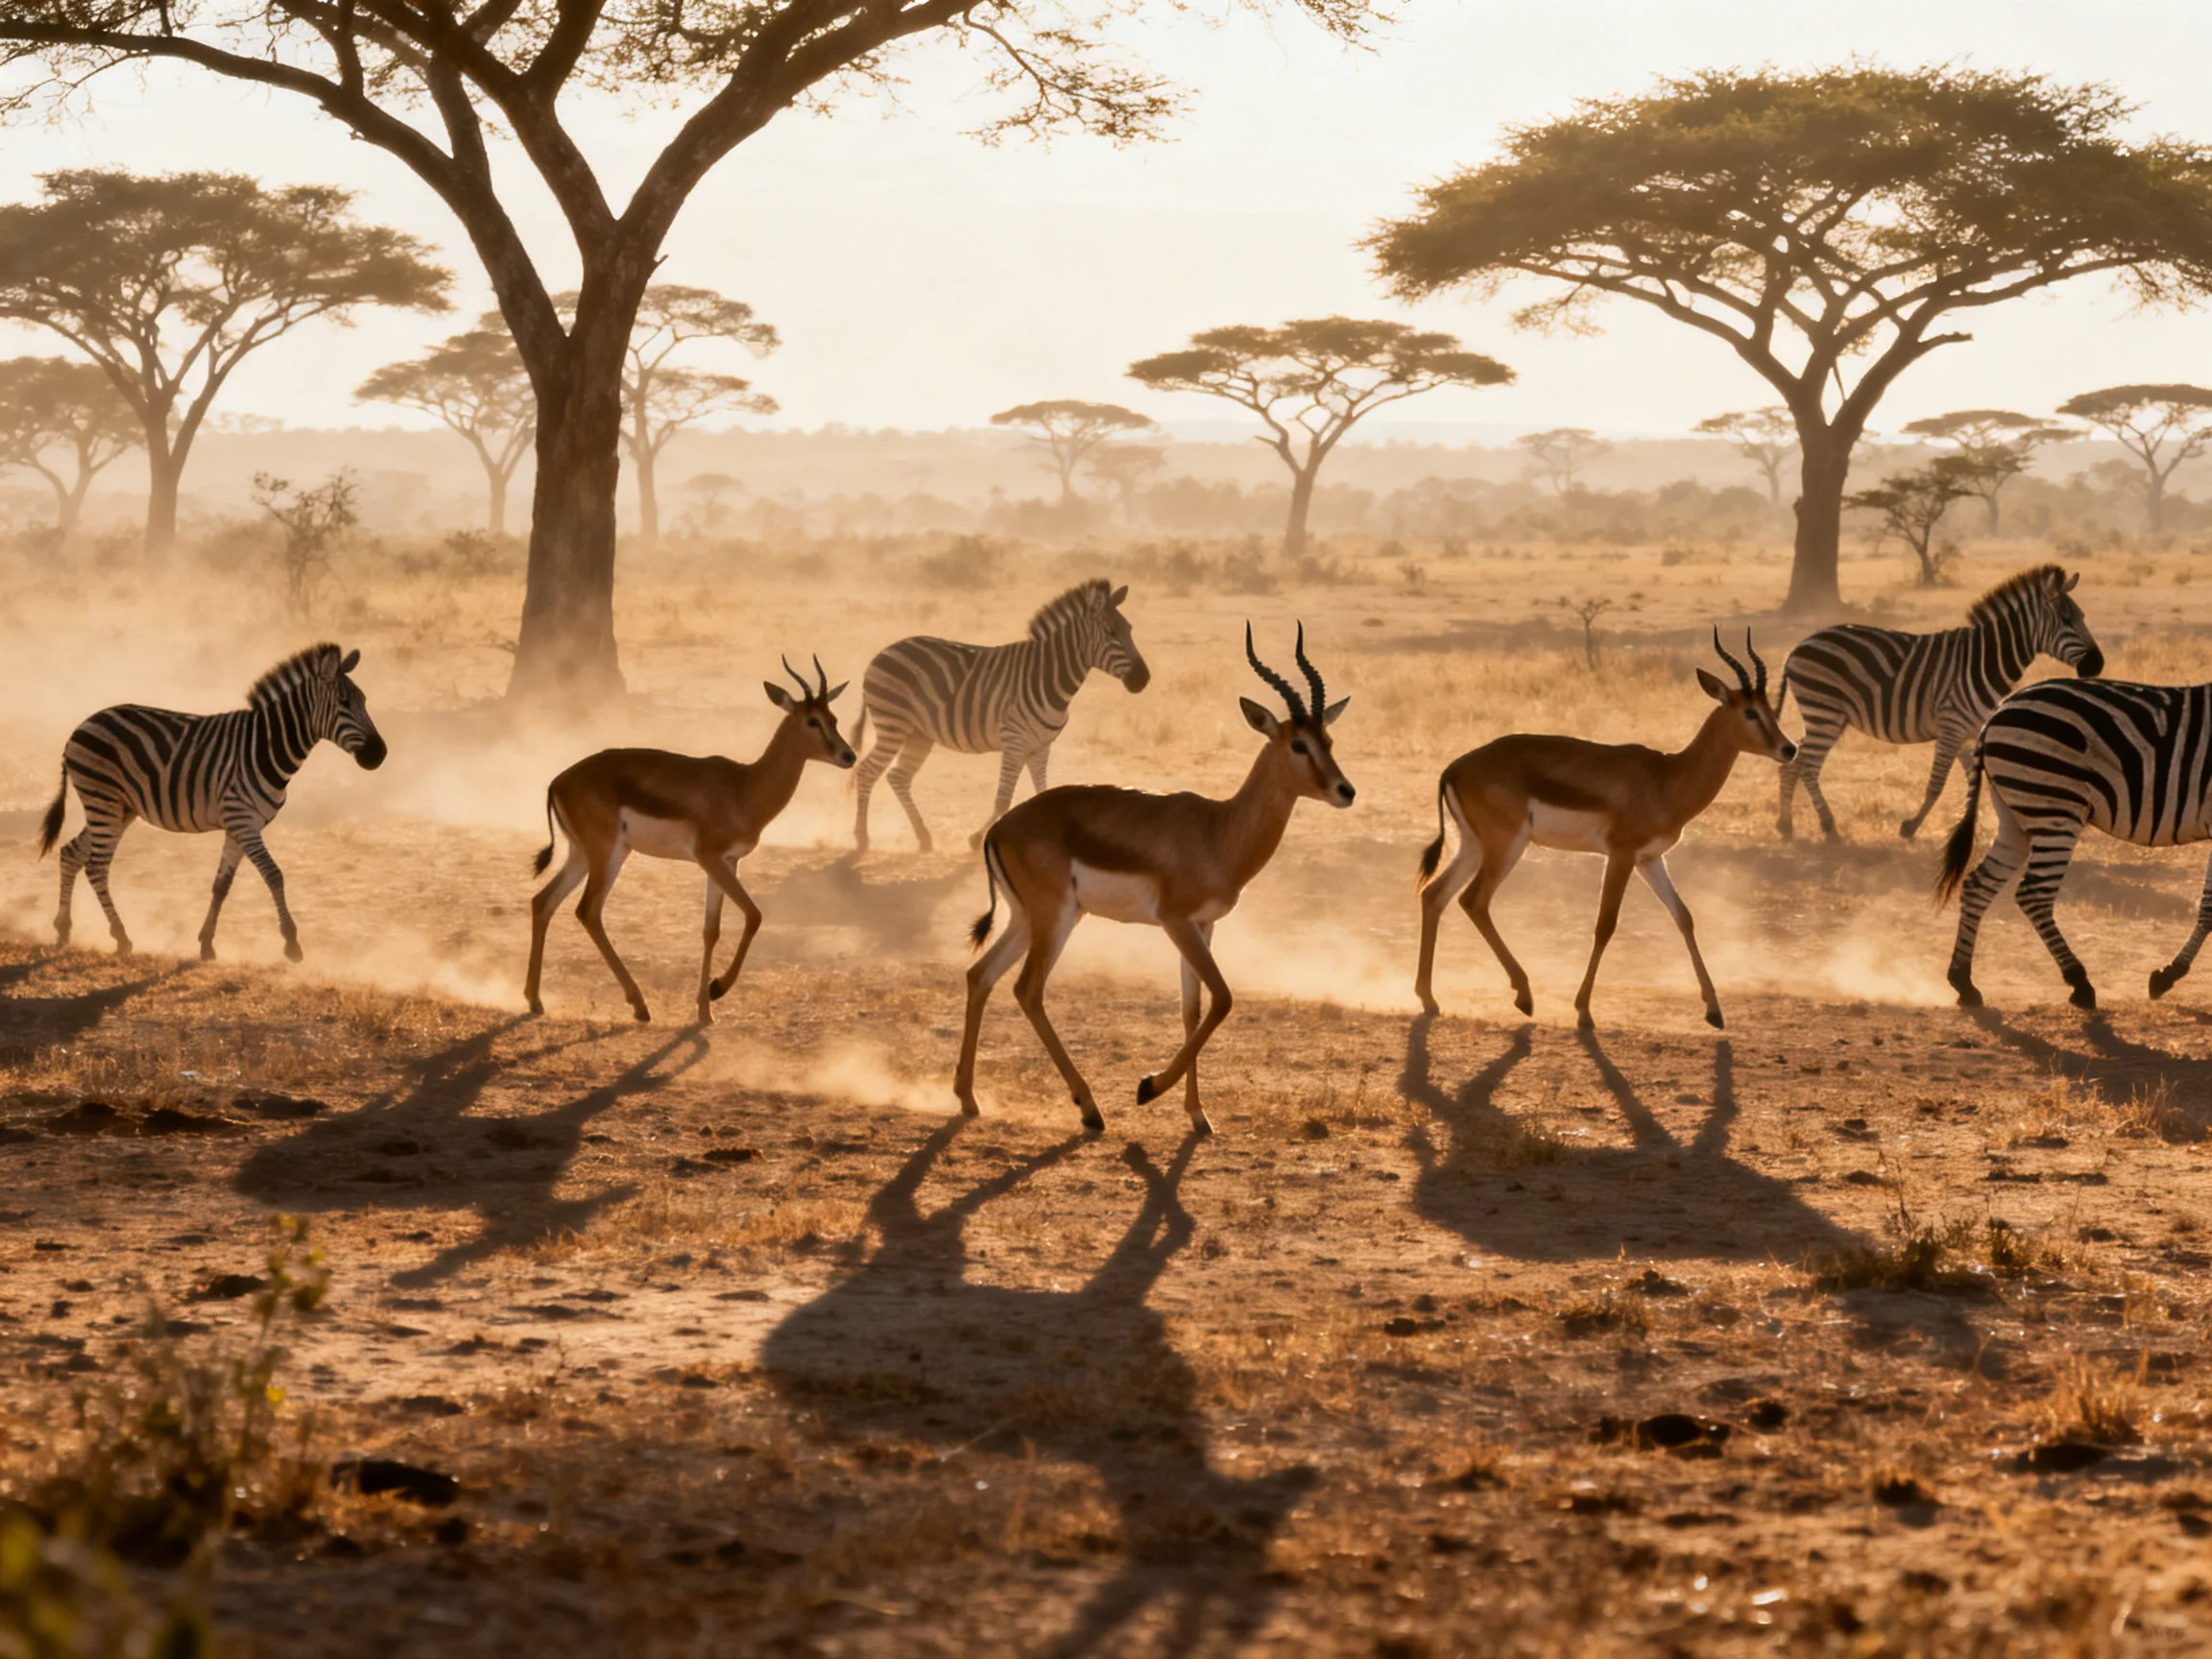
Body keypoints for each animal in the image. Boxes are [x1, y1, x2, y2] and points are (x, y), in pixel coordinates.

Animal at [37, 642, 387, 962]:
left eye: (365, 701)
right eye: (344, 703)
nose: (380, 754)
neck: (265, 747)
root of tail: (81, 726)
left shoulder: (239, 825)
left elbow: (222, 884)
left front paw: (206, 943)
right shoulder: (243, 821)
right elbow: (274, 875)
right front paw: (291, 942)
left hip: (120, 807)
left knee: (71, 853)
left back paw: (63, 929)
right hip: (104, 800)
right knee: (96, 866)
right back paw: (121, 937)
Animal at [852, 579, 1149, 852]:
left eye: (1130, 629)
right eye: (1111, 632)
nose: (1143, 679)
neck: (1048, 678)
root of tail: (883, 652)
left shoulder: (1040, 746)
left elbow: (1042, 793)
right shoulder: (1014, 741)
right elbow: (1003, 799)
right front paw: (976, 839)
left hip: (919, 734)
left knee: (898, 777)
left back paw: (924, 838)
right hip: (893, 724)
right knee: (866, 772)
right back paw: (862, 839)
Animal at [1776, 564, 2103, 841]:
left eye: (2083, 617)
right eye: (2066, 620)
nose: (2097, 665)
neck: (1984, 661)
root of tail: (1798, 647)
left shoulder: (1970, 731)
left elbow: (1976, 784)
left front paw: (1975, 829)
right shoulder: (1951, 725)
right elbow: (1937, 784)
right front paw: (1910, 827)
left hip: (1826, 714)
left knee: (1795, 760)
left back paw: (1786, 825)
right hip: (1825, 710)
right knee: (1809, 765)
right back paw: (1828, 826)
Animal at [1937, 677, 2212, 1011]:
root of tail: (1995, 716)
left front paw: (2167, 976)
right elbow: (2210, 906)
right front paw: (2168, 975)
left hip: (2015, 818)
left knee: (1980, 884)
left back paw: (1963, 982)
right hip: (2055, 806)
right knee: (2034, 894)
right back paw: (2079, 983)